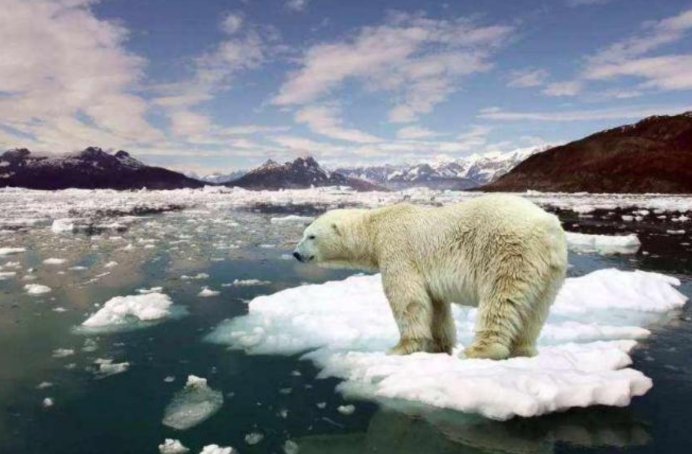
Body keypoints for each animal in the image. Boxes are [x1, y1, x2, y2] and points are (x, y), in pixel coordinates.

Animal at [292, 195, 568, 362]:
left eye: (311, 236)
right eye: (304, 234)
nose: (295, 253)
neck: (376, 226)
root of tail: (548, 229)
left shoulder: (398, 250)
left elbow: (407, 298)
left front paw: (400, 347)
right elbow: (436, 306)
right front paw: (438, 346)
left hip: (509, 252)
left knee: (500, 299)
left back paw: (479, 350)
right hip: (550, 272)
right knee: (536, 310)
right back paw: (523, 350)